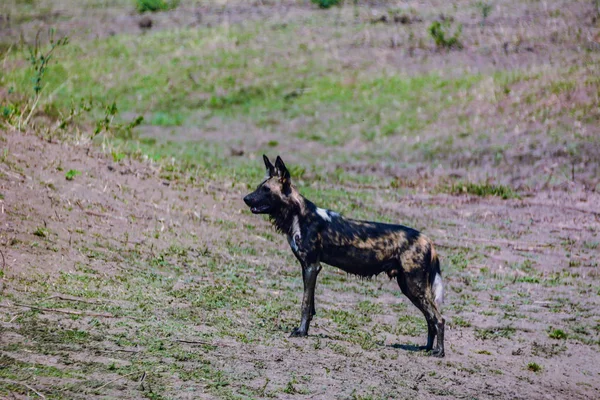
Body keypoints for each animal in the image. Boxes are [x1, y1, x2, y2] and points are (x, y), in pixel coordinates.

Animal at [244, 155, 446, 356]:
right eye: (259, 187)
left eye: (266, 190)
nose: (245, 198)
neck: (298, 215)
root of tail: (428, 240)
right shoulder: (307, 268)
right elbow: (311, 305)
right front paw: (305, 329)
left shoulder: (312, 267)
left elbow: (305, 304)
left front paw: (301, 332)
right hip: (409, 286)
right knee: (430, 318)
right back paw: (427, 348)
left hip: (414, 286)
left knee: (439, 318)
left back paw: (439, 352)